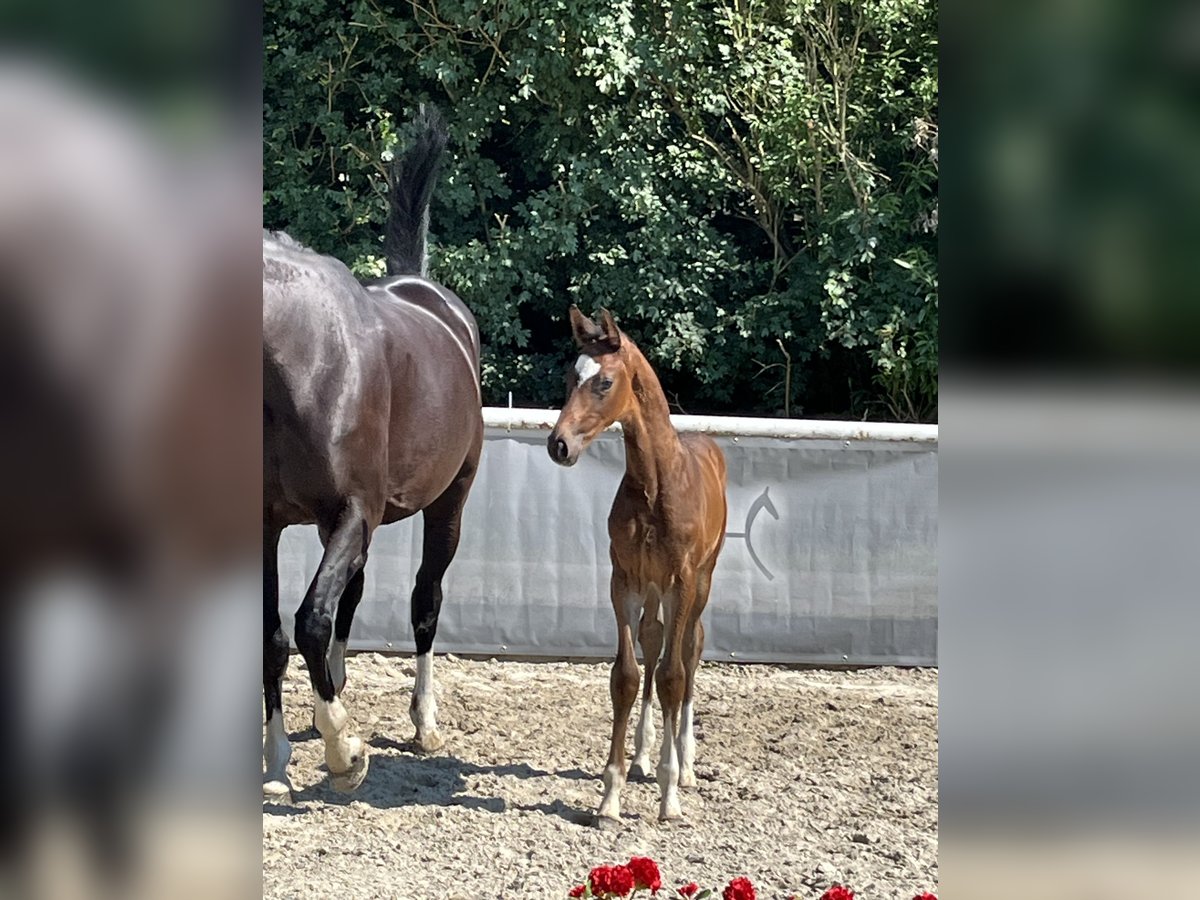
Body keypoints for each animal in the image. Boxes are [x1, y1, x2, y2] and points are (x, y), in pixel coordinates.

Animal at [265, 111, 480, 796]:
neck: (303, 367)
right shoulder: (267, 525)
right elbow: (276, 632)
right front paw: (276, 759)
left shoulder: (352, 513)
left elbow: (309, 619)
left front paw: (345, 753)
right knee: (351, 599)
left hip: (448, 505)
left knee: (424, 602)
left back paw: (423, 722)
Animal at [549, 309, 724, 825]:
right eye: (570, 377)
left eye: (604, 382)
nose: (558, 445)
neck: (654, 484)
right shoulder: (623, 580)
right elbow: (626, 675)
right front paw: (611, 794)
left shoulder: (682, 581)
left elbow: (672, 676)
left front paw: (670, 795)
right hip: (652, 587)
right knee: (654, 638)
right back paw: (645, 756)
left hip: (700, 581)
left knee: (689, 646)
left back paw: (684, 764)